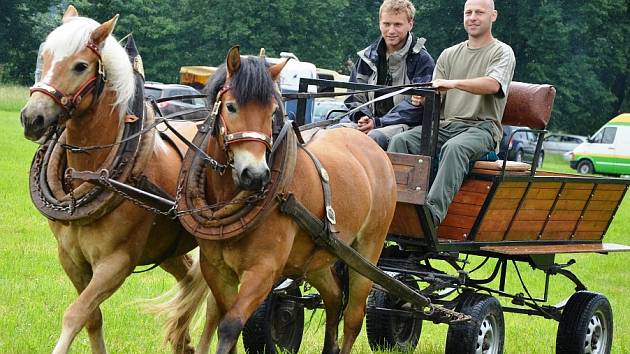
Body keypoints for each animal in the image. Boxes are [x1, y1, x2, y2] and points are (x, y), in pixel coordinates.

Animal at [19, 6, 211, 354]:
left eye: (80, 66)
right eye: (45, 56)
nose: (32, 118)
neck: (92, 172)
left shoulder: (116, 263)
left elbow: (75, 314)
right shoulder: (71, 259)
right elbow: (91, 317)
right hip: (168, 249)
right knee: (189, 280)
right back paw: (182, 340)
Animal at [156, 47, 398, 354]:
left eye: (273, 111)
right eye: (231, 107)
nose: (256, 174)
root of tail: (371, 145)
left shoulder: (263, 270)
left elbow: (230, 324)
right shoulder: (216, 269)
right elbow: (222, 316)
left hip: (367, 251)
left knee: (354, 315)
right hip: (319, 255)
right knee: (333, 295)